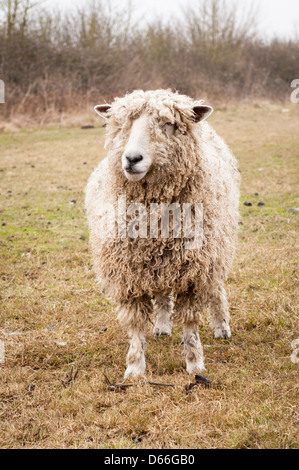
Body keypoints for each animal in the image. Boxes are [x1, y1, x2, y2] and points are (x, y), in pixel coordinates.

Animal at [85, 90, 241, 380]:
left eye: (168, 124)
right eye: (122, 124)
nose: (132, 159)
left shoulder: (195, 271)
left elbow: (190, 324)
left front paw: (195, 364)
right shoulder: (129, 274)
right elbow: (135, 325)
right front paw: (135, 367)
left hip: (216, 250)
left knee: (216, 289)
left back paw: (221, 327)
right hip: (158, 265)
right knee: (160, 295)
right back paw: (162, 326)